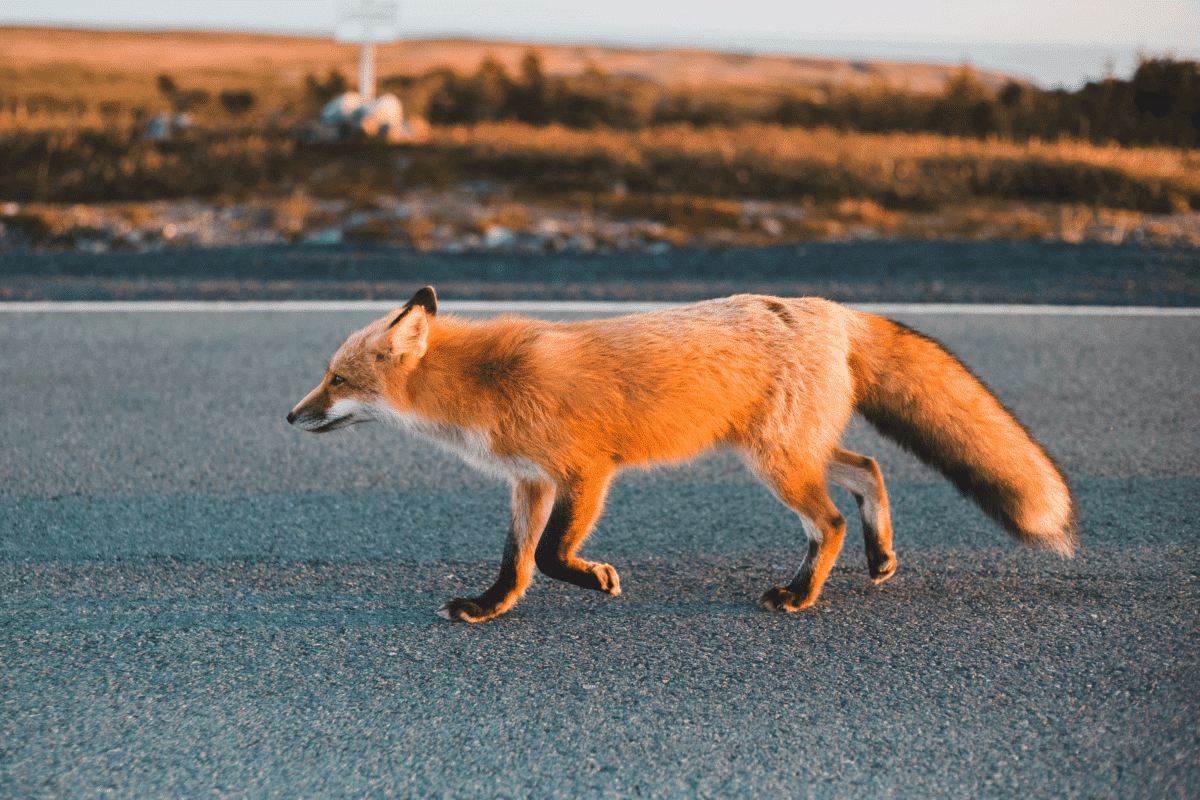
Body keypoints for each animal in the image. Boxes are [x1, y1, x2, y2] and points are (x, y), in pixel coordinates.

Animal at [287, 286, 1076, 622]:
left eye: (336, 380)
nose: (291, 415)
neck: (486, 383)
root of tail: (832, 309)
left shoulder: (586, 471)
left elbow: (553, 557)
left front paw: (597, 579)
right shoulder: (530, 482)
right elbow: (516, 562)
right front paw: (489, 608)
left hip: (776, 462)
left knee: (828, 521)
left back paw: (800, 594)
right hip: (788, 451)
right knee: (868, 469)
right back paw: (879, 556)